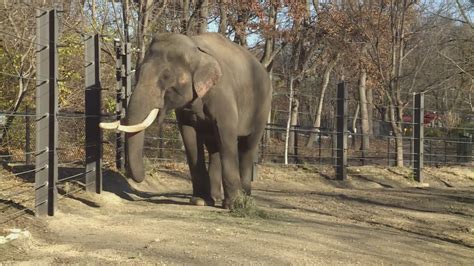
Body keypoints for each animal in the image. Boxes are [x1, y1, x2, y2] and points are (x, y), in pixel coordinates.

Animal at [99, 32, 270, 208]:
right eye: (138, 72)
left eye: (166, 76)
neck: (195, 47)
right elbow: (190, 137)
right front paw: (199, 201)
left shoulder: (223, 94)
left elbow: (226, 135)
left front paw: (233, 205)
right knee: (214, 148)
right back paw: (215, 198)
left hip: (262, 109)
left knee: (247, 147)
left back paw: (246, 199)